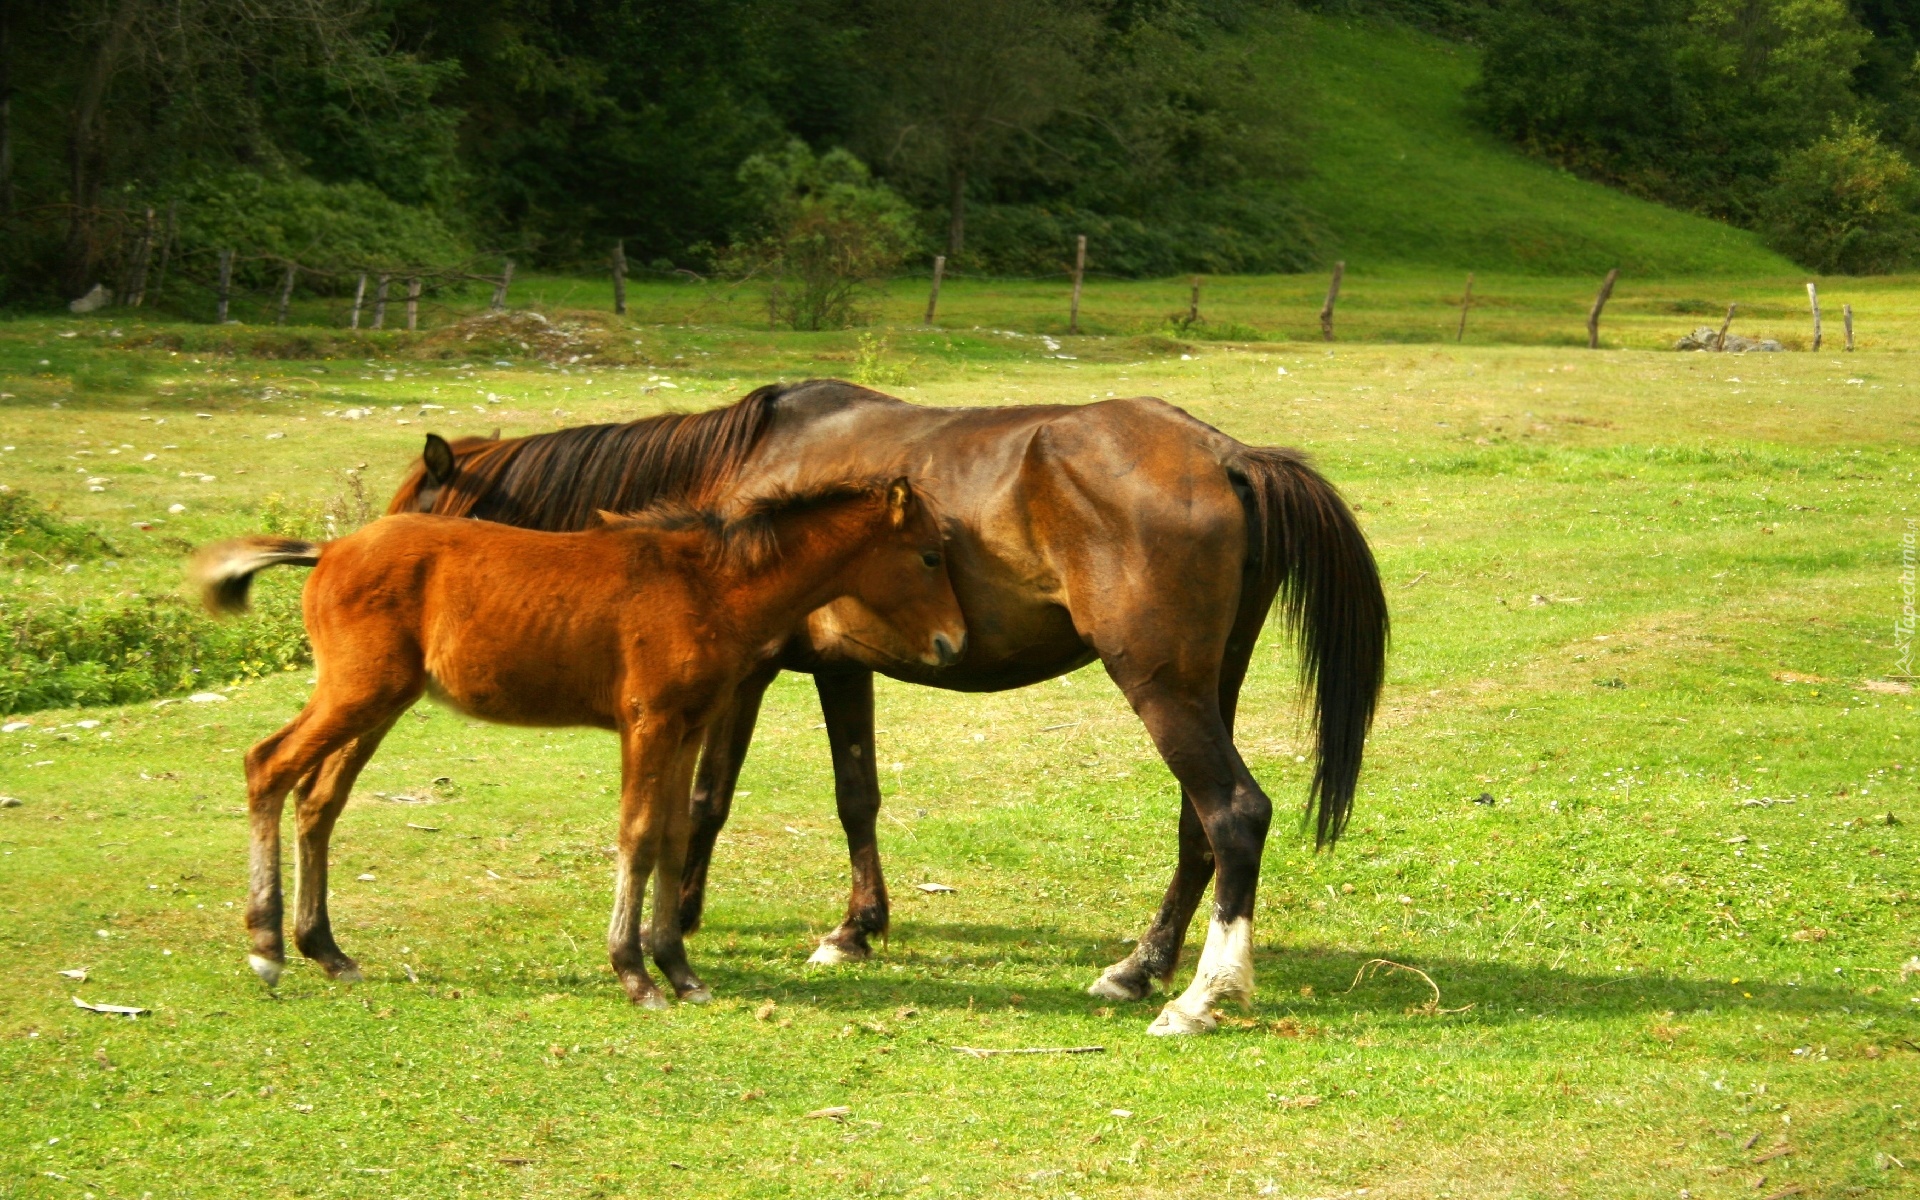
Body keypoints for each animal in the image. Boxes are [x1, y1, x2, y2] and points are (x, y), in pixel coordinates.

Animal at [194, 474, 960, 998]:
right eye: (928, 556)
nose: (952, 642)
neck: (707, 584)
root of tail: (328, 550)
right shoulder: (647, 722)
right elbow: (639, 834)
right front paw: (635, 973)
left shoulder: (686, 728)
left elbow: (673, 834)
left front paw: (679, 969)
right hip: (358, 694)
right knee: (267, 766)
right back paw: (267, 946)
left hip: (380, 703)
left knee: (318, 801)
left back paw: (326, 950)